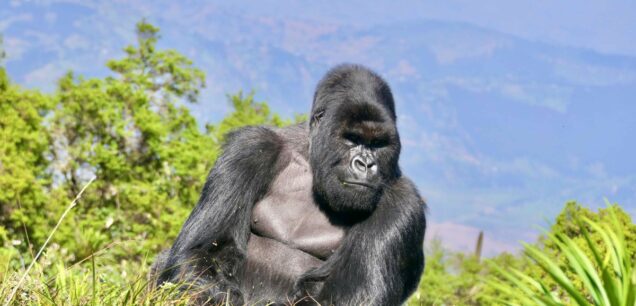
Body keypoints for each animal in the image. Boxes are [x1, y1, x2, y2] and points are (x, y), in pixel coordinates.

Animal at [152, 63, 424, 304]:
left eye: (378, 144)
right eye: (352, 139)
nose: (366, 164)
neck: (314, 161)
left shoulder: (403, 202)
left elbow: (358, 297)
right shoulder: (251, 148)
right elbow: (199, 253)